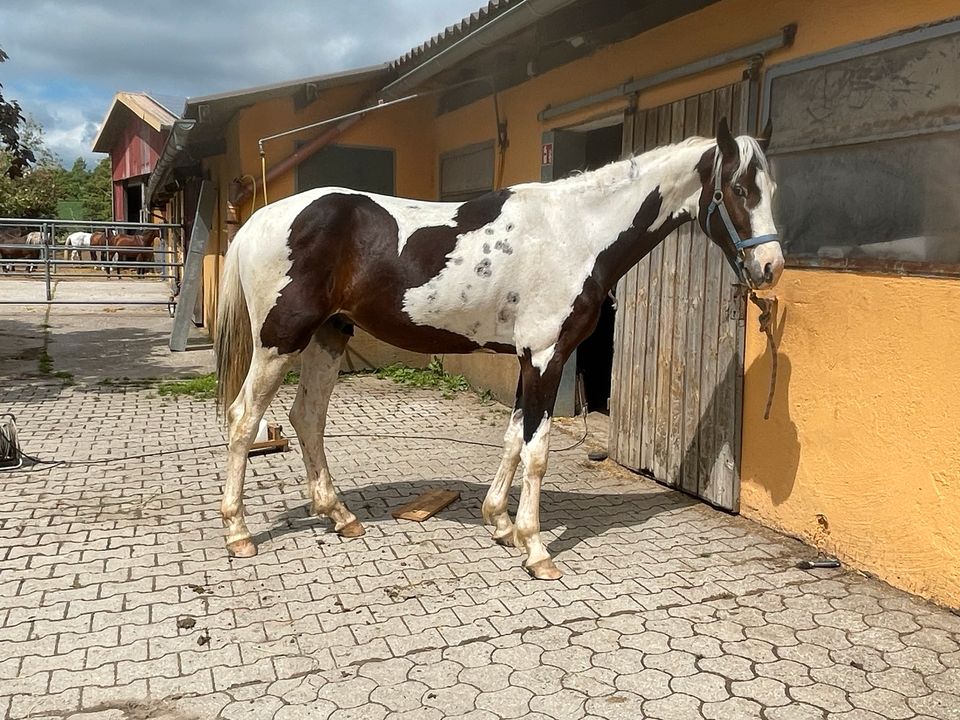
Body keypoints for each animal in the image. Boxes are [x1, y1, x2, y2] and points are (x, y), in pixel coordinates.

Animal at [214, 118, 784, 580]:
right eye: (737, 188)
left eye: (771, 187)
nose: (770, 268)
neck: (576, 232)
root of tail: (261, 220)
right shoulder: (547, 356)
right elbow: (537, 451)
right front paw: (536, 549)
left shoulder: (528, 359)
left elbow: (513, 439)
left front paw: (500, 524)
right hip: (279, 342)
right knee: (244, 419)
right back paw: (238, 533)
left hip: (329, 336)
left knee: (307, 417)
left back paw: (339, 516)